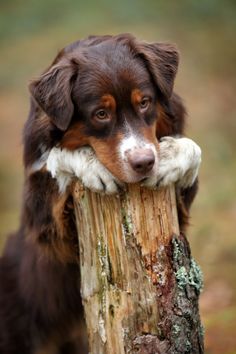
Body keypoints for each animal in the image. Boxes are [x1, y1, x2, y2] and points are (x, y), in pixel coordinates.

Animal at [0, 34, 201, 354]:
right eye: (101, 114)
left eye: (144, 103)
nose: (144, 162)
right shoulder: (50, 229)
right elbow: (54, 161)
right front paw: (92, 165)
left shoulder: (179, 217)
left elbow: (193, 149)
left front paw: (171, 157)